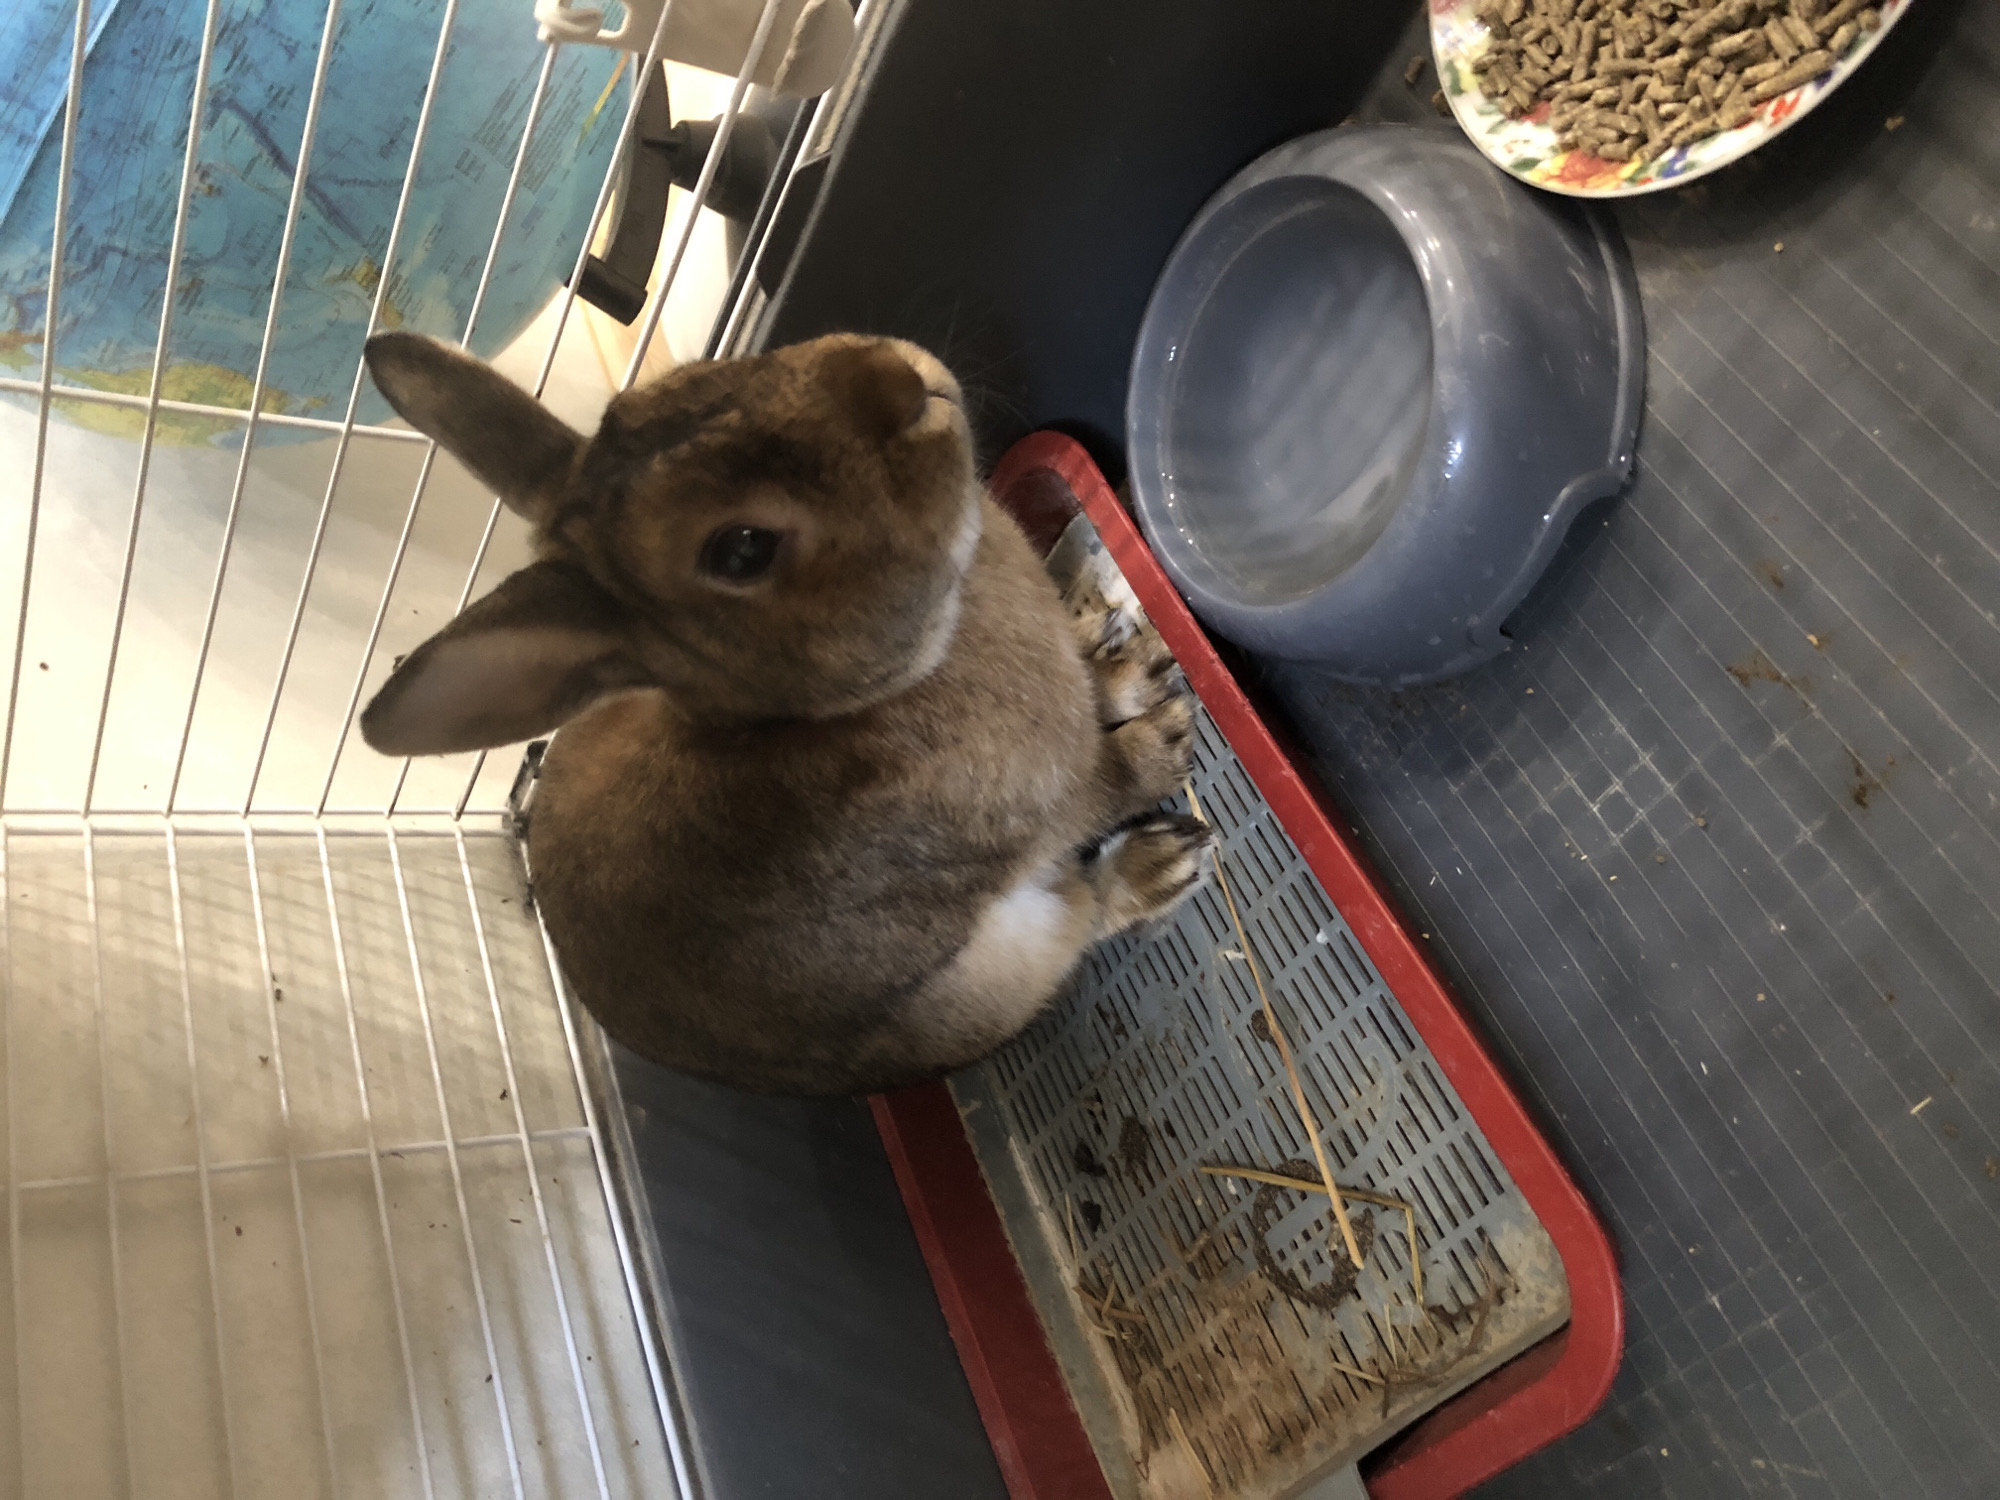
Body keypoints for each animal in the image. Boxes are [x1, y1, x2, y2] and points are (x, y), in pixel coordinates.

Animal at [359, 330, 1212, 1095]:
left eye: (669, 390)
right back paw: (1166, 859)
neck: (846, 700)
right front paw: (1168, 740)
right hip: (998, 974)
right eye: (741, 551)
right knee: (1083, 910)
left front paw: (1132, 674)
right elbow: (1110, 782)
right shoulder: (1051, 801)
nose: (893, 380)